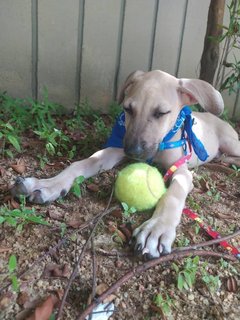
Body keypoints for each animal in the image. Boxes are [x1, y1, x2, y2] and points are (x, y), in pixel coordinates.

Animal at [11, 70, 240, 260]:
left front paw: (157, 228)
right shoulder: (112, 151)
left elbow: (173, 194)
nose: (133, 152)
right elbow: (81, 164)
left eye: (161, 113)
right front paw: (48, 185)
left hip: (231, 142)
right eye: (128, 109)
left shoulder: (181, 171)